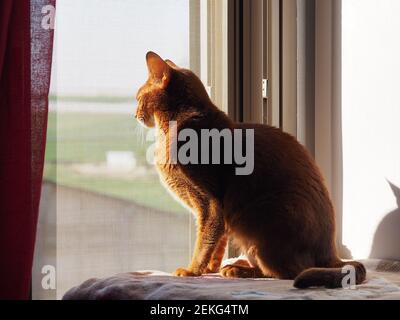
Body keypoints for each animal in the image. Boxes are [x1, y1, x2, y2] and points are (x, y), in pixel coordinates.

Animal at [136, 51, 368, 288]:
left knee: (288, 272)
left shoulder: (210, 204)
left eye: (138, 98)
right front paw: (210, 268)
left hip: (267, 218)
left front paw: (192, 270)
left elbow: (204, 242)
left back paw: (239, 270)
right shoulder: (219, 213)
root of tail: (331, 253)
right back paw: (235, 266)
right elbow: (217, 242)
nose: (135, 114)